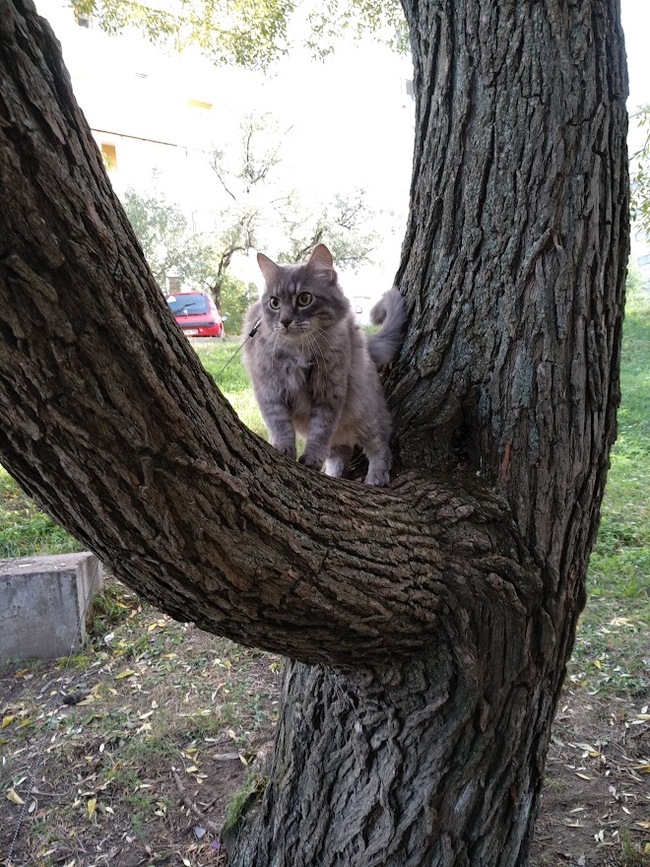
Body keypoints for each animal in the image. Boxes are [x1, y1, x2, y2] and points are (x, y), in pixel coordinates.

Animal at [243, 246, 404, 488]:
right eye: (274, 303)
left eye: (304, 298)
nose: (285, 321)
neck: (298, 351)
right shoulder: (268, 389)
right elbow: (279, 424)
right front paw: (283, 448)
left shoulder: (330, 393)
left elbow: (320, 432)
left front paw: (311, 459)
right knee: (341, 454)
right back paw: (335, 475)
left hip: (365, 414)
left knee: (380, 445)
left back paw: (376, 477)